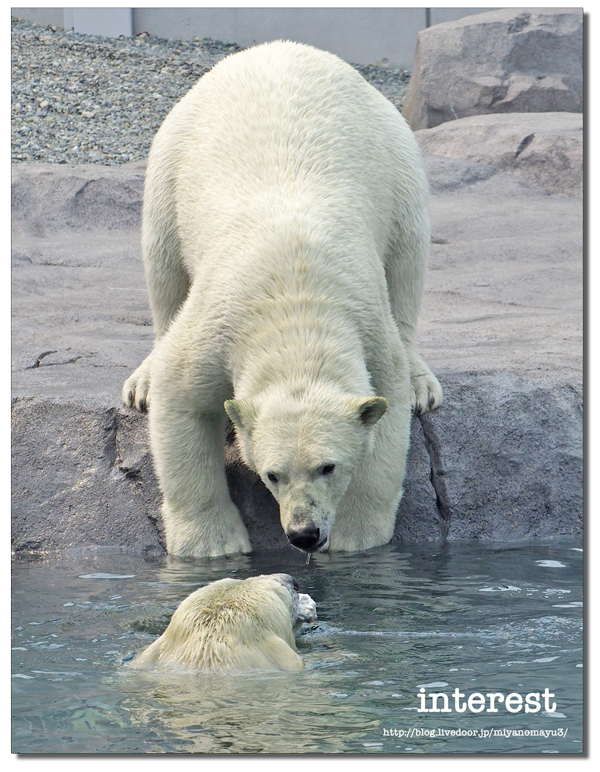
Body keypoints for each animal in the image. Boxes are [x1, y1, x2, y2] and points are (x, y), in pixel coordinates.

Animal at [123, 39, 440, 556]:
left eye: (328, 467)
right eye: (271, 474)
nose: (304, 534)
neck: (294, 301)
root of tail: (279, 48)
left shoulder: (368, 323)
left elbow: (388, 413)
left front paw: (355, 535)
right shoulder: (218, 323)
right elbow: (180, 399)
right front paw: (212, 544)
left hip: (397, 154)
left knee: (409, 260)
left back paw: (422, 384)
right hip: (170, 156)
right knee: (162, 265)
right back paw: (141, 382)